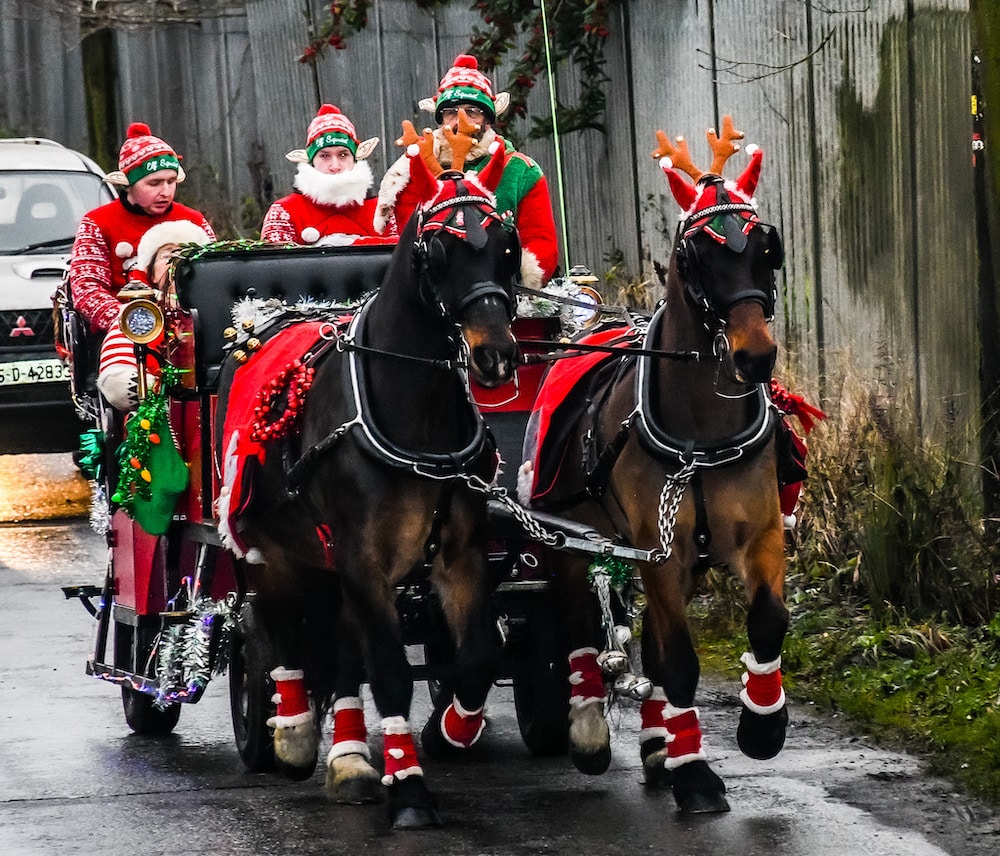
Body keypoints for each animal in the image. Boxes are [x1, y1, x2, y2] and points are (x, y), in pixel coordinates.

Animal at [214, 132, 520, 828]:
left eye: (506, 243)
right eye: (439, 250)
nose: (495, 356)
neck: (417, 415)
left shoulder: (458, 556)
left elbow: (477, 656)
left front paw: (452, 730)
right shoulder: (363, 559)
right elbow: (390, 673)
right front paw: (409, 791)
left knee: (339, 649)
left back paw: (351, 758)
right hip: (265, 549)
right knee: (275, 630)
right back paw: (295, 732)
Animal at [528, 118, 792, 808]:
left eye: (767, 247)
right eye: (695, 254)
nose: (756, 357)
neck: (701, 433)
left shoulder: (758, 534)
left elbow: (767, 620)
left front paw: (762, 726)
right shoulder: (659, 551)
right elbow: (678, 662)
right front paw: (694, 770)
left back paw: (655, 745)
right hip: (571, 540)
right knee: (577, 625)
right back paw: (591, 728)